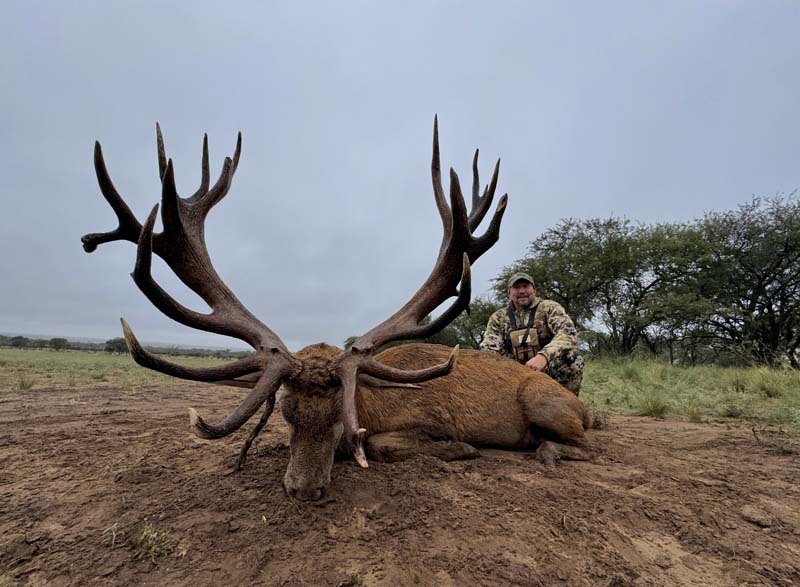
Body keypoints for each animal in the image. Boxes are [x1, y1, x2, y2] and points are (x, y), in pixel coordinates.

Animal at [82, 118, 591, 501]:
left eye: (337, 421)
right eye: (286, 413)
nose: (304, 490)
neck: (370, 403)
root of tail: (581, 409)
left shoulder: (422, 422)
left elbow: (390, 447)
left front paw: (462, 448)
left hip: (544, 402)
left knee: (584, 443)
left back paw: (546, 450)